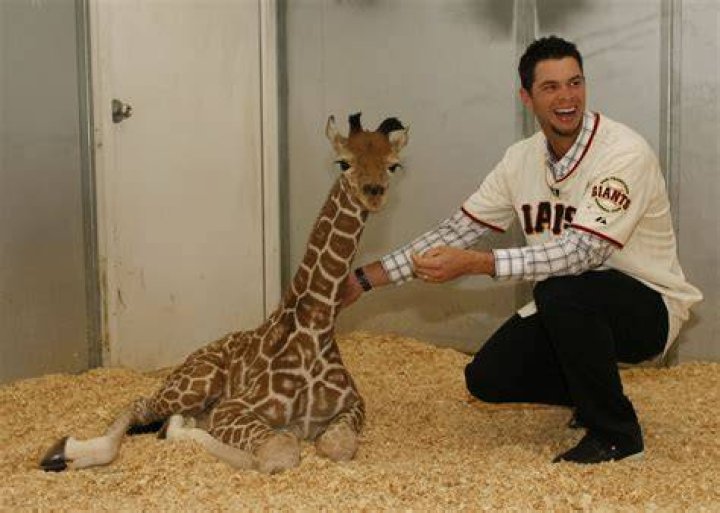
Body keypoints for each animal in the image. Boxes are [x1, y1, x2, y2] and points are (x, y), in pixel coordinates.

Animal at [40, 113, 409, 474]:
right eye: (343, 162)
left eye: (393, 165)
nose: (373, 193)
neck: (316, 326)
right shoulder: (233, 408)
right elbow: (278, 454)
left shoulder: (353, 406)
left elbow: (336, 446)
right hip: (196, 382)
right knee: (140, 405)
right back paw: (67, 451)